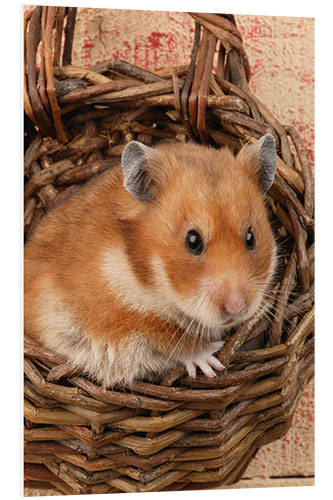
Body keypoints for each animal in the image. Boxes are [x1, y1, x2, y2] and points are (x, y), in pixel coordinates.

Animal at [24, 136, 276, 386]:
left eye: (251, 237)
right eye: (192, 240)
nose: (236, 307)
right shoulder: (118, 319)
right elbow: (174, 339)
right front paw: (212, 364)